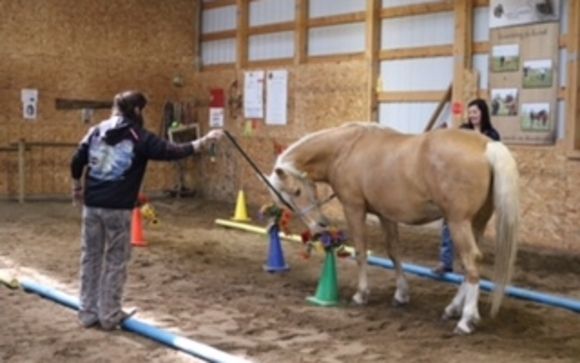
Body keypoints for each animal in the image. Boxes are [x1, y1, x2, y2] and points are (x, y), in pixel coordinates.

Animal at [268, 123, 520, 336]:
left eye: (296, 192)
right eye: (287, 199)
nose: (319, 226)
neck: (346, 148)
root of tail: (486, 145)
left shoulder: (354, 208)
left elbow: (361, 252)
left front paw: (361, 294)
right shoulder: (385, 214)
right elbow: (394, 252)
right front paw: (401, 294)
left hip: (458, 222)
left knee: (471, 263)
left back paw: (466, 320)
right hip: (476, 222)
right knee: (469, 267)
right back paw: (453, 309)